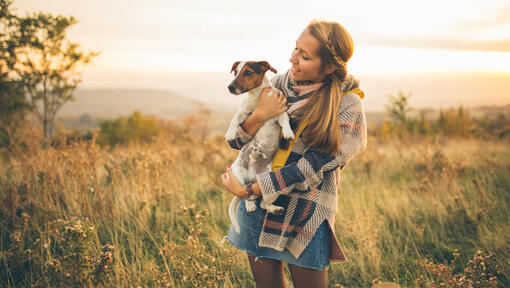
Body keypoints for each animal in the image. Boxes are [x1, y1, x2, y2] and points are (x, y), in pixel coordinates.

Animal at [225, 60, 292, 234]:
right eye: (236, 72)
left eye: (248, 72)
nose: (230, 87)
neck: (257, 97)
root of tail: (252, 176)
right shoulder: (244, 112)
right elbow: (234, 119)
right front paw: (230, 133)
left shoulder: (279, 112)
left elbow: (285, 120)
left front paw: (288, 132)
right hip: (238, 175)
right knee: (245, 193)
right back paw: (250, 205)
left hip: (270, 181)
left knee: (262, 202)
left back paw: (275, 208)